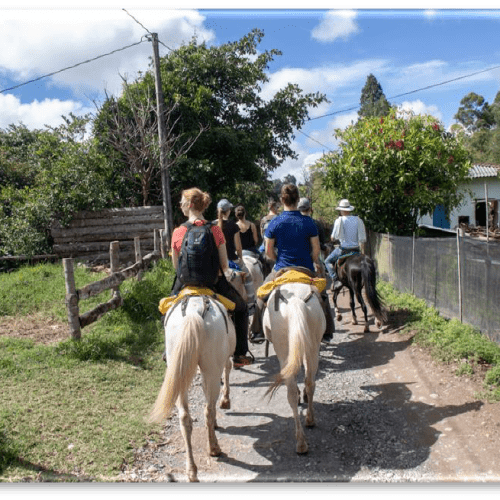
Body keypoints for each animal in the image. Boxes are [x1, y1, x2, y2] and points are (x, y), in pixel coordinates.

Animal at [148, 294, 236, 482]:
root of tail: (194, 312)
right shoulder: (224, 359)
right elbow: (227, 369)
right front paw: (225, 401)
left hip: (179, 369)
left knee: (185, 418)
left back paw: (191, 471)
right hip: (211, 368)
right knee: (208, 409)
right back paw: (214, 448)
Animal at [264, 284, 326, 456]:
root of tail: (295, 301)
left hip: (284, 349)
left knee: (292, 390)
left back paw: (302, 439)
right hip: (312, 346)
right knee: (310, 382)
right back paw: (307, 426)